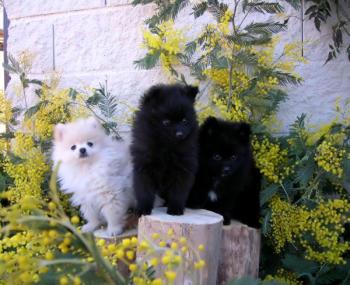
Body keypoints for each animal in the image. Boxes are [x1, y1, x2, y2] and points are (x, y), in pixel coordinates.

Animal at [130, 83, 198, 214]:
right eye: (166, 122)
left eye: (184, 120)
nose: (180, 134)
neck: (166, 148)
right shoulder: (144, 166)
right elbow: (144, 190)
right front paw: (143, 208)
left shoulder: (183, 167)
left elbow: (179, 190)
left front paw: (175, 208)